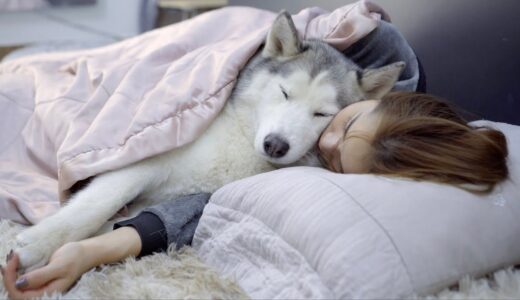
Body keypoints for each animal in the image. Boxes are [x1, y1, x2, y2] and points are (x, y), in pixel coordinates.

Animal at [14, 11, 404, 270]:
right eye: (284, 92)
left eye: (322, 114)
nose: (275, 145)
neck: (240, 139)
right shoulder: (142, 161)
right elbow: (94, 206)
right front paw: (37, 244)